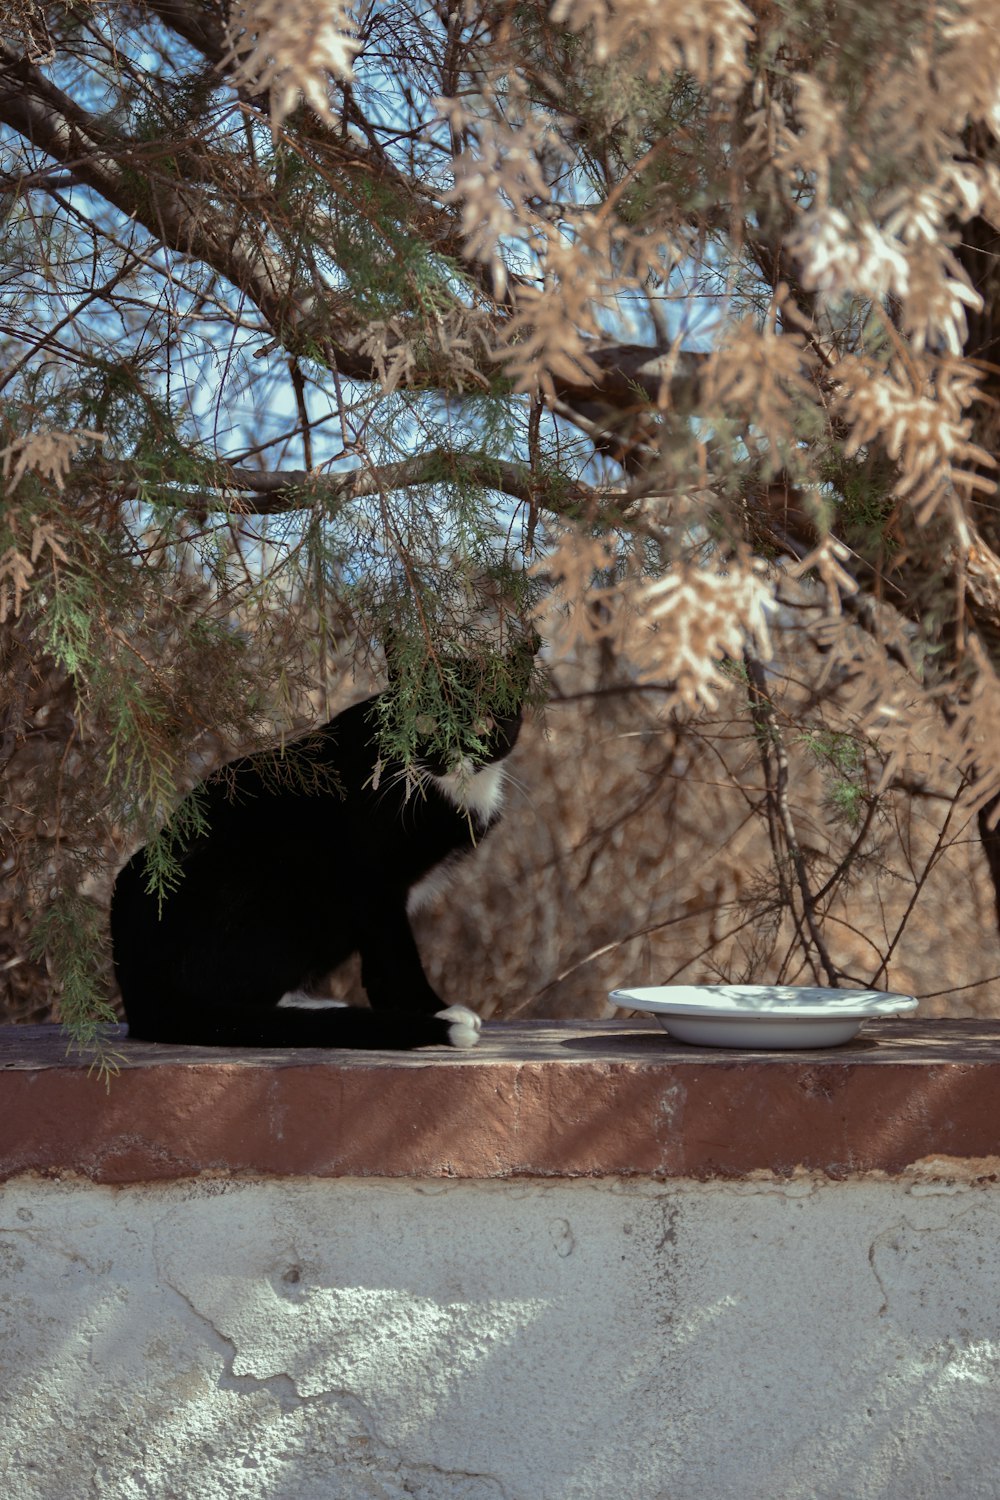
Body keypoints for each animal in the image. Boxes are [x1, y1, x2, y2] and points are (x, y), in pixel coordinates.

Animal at [107, 642, 530, 1044]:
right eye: (423, 722)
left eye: (483, 723)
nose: (452, 754)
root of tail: (141, 993)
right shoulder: (374, 883)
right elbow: (397, 956)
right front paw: (434, 1012)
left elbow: (379, 964)